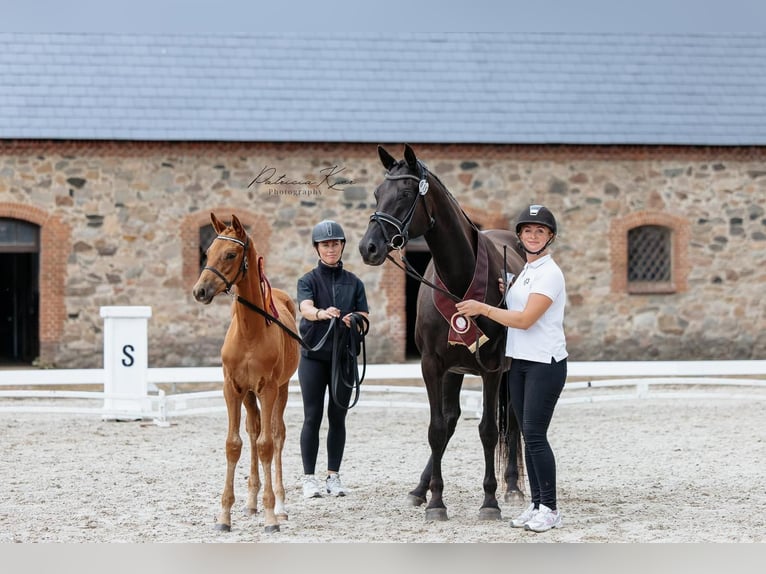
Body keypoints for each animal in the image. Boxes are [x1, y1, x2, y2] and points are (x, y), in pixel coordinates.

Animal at [192, 213, 300, 536]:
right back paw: (251, 502)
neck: (250, 332)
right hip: (250, 396)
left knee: (275, 434)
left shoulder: (268, 388)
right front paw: (224, 516)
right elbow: (234, 444)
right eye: (207, 251)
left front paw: (270, 517)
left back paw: (280, 505)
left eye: (230, 254)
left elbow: (267, 445)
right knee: (253, 433)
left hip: (282, 389)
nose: (199, 291)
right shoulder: (232, 388)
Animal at [360, 144, 528, 520]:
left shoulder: (492, 369)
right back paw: (420, 489)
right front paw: (436, 501)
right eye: (377, 193)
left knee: (512, 419)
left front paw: (490, 501)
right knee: (450, 421)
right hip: (455, 369)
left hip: (509, 368)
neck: (458, 278)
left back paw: (512, 488)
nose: (368, 247)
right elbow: (437, 429)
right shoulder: (433, 365)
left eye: (405, 194)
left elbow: (489, 430)